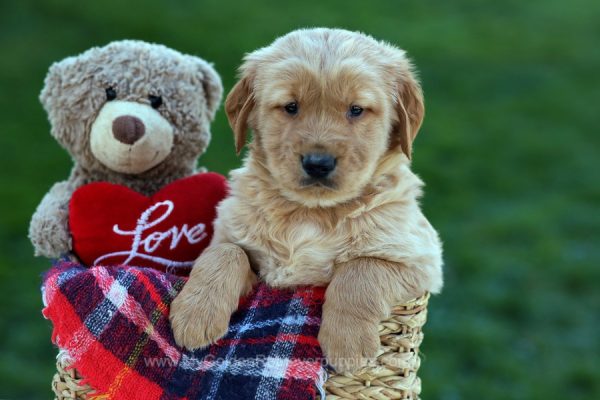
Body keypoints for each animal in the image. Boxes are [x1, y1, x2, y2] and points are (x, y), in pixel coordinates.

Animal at [171, 27, 442, 372]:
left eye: (356, 109)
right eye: (291, 107)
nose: (318, 163)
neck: (310, 213)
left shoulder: (420, 260)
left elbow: (360, 269)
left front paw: (348, 344)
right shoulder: (229, 237)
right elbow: (224, 254)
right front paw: (195, 316)